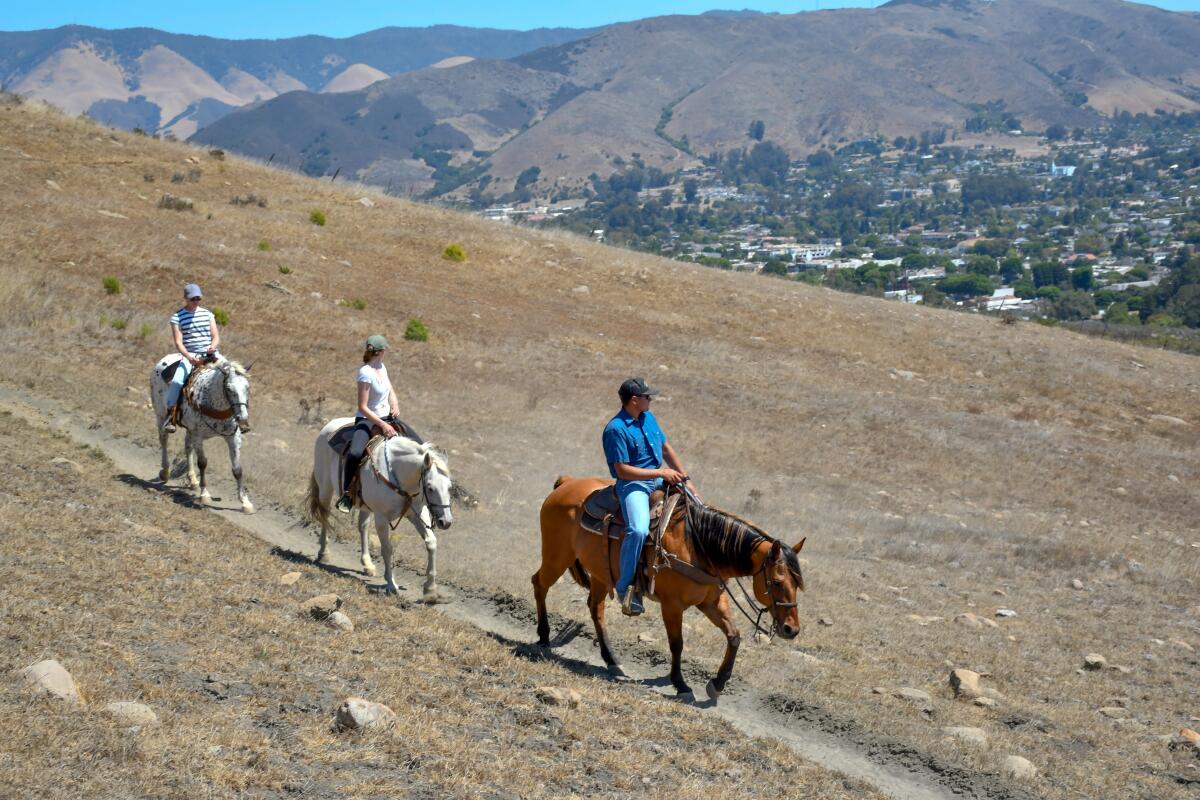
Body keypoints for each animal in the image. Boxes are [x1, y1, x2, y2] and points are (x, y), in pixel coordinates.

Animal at [148, 355, 254, 513]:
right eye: (229, 389)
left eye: (247, 387)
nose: (243, 419)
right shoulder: (198, 436)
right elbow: (203, 463)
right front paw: (205, 494)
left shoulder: (233, 437)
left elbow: (237, 469)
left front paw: (245, 502)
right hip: (161, 416)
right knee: (164, 440)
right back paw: (165, 472)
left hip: (189, 430)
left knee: (188, 447)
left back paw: (192, 480)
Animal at [307, 419, 451, 599]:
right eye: (430, 488)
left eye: (450, 487)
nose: (446, 521)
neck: (398, 474)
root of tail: (331, 424)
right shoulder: (382, 518)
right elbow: (387, 549)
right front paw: (391, 584)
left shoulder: (417, 512)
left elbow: (431, 542)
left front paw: (430, 588)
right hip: (326, 489)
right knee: (325, 516)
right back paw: (324, 553)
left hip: (365, 505)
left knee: (362, 526)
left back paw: (367, 564)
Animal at [535, 479, 806, 695]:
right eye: (777, 582)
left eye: (798, 584)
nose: (791, 629)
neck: (698, 547)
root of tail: (566, 483)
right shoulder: (672, 605)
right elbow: (677, 643)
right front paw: (680, 684)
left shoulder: (711, 602)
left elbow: (734, 636)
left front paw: (717, 683)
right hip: (557, 556)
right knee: (539, 584)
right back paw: (544, 636)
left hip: (600, 575)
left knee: (595, 607)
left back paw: (611, 659)